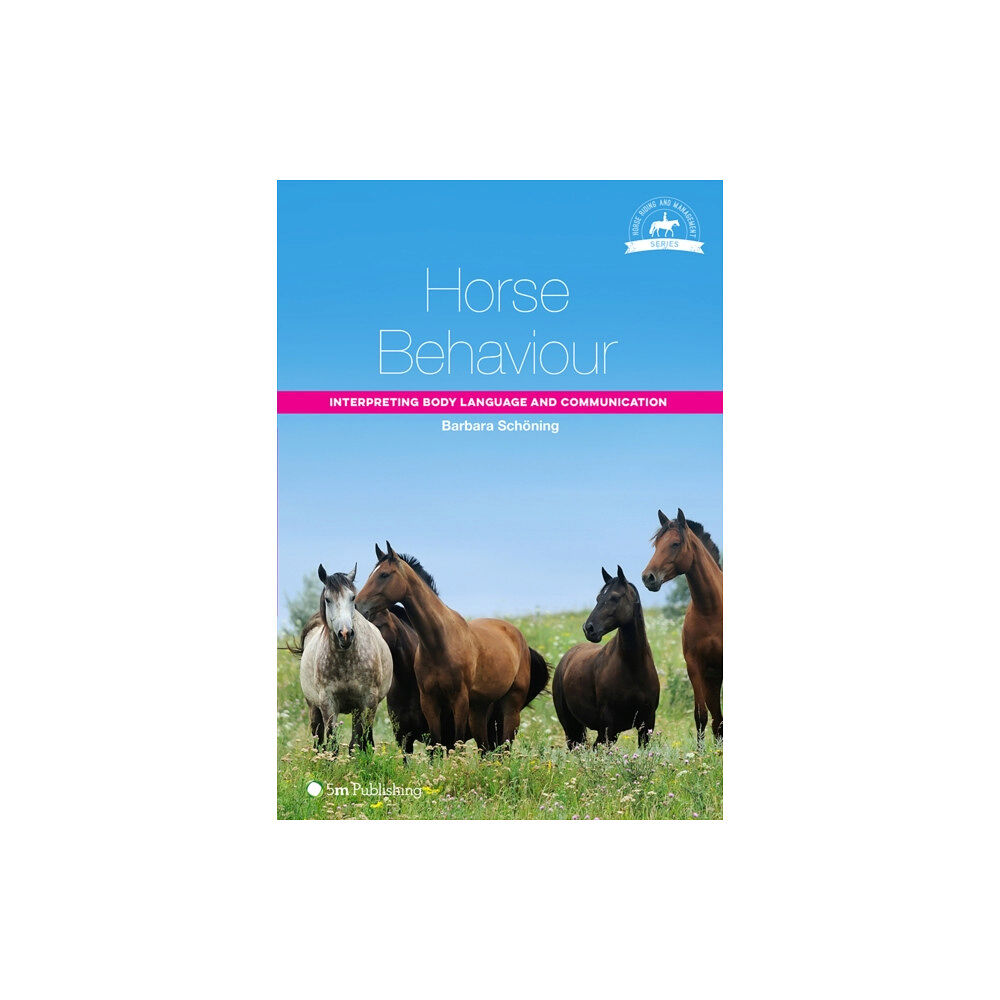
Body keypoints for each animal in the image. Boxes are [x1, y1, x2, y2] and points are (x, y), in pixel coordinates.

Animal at [291, 563, 393, 752]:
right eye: (328, 599)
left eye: (352, 597)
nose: (345, 634)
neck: (346, 661)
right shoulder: (327, 702)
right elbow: (332, 745)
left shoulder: (367, 701)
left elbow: (361, 742)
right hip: (313, 707)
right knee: (318, 740)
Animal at [356, 542, 549, 751]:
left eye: (384, 574)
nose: (357, 605)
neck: (439, 645)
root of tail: (519, 639)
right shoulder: (429, 703)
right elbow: (436, 744)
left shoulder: (459, 701)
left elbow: (456, 742)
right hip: (479, 710)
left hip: (510, 708)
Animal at [552, 566, 659, 749]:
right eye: (598, 598)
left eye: (614, 597)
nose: (589, 628)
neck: (633, 667)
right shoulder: (608, 727)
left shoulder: (646, 724)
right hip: (570, 726)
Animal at [642, 508, 722, 745]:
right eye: (656, 545)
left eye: (675, 544)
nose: (648, 577)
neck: (710, 609)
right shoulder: (694, 666)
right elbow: (700, 716)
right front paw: (700, 752)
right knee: (717, 721)